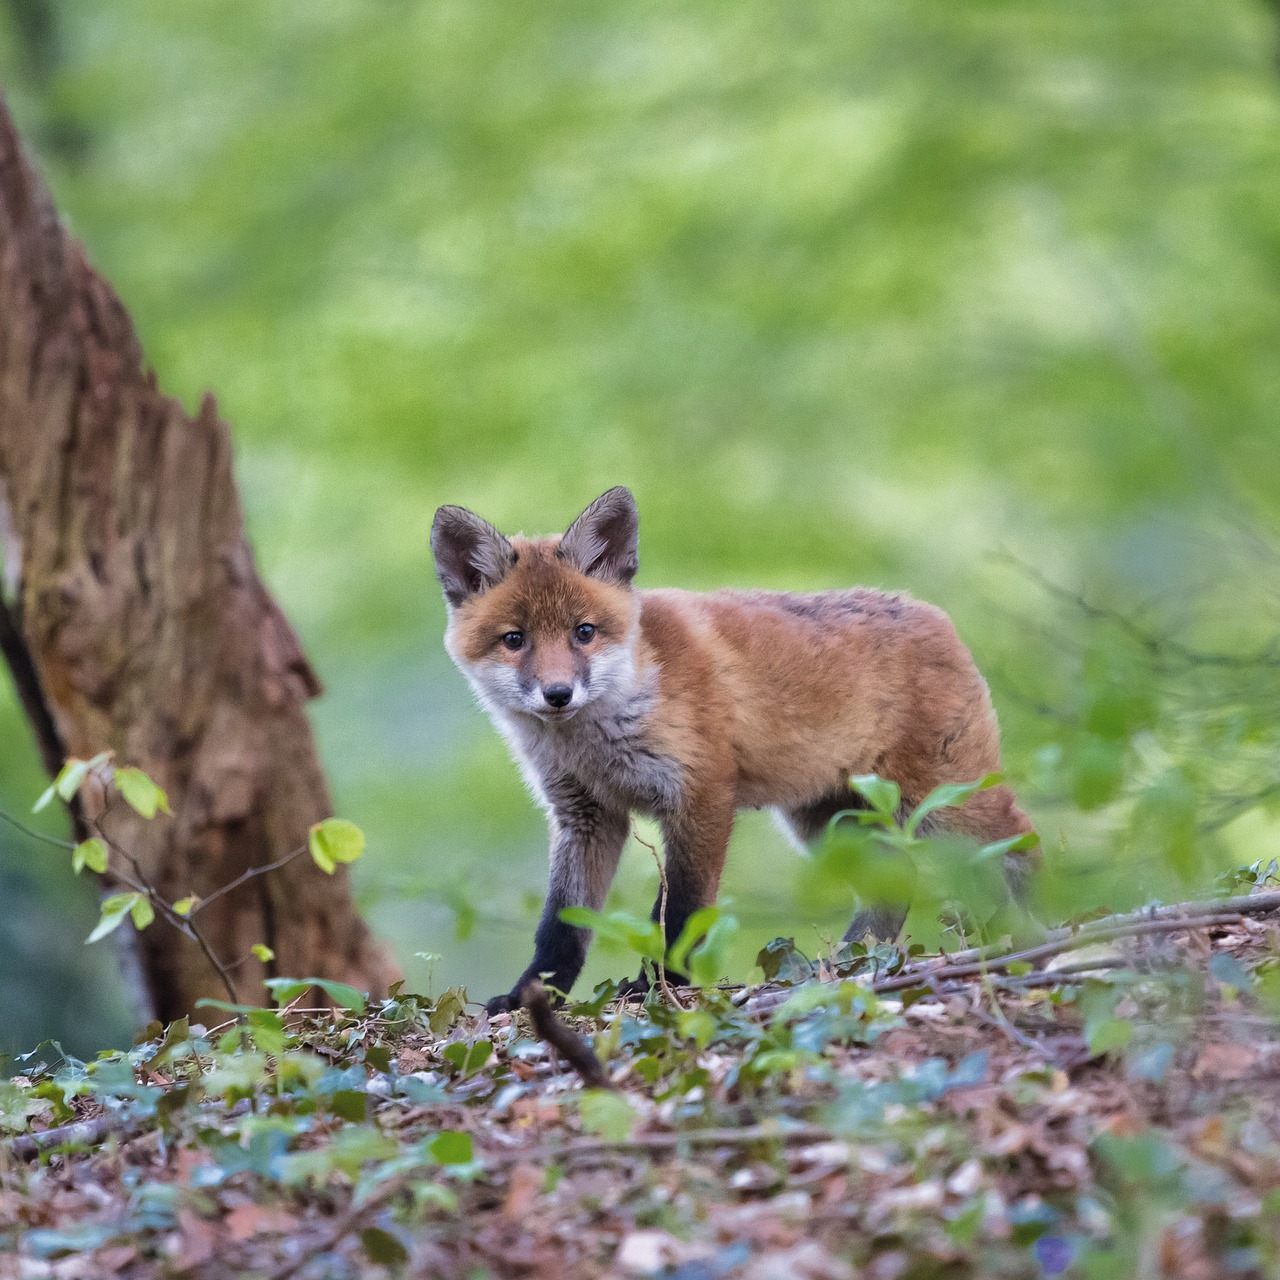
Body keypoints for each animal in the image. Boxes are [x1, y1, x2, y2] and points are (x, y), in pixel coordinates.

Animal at [430, 486, 1036, 1013]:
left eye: (584, 632)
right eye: (515, 640)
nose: (558, 694)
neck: (598, 740)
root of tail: (931, 613)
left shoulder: (701, 796)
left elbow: (681, 913)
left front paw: (659, 988)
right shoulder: (585, 816)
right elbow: (560, 927)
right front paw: (532, 995)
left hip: (944, 805)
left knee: (1021, 844)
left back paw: (1029, 930)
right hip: (831, 826)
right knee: (893, 890)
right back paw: (848, 965)